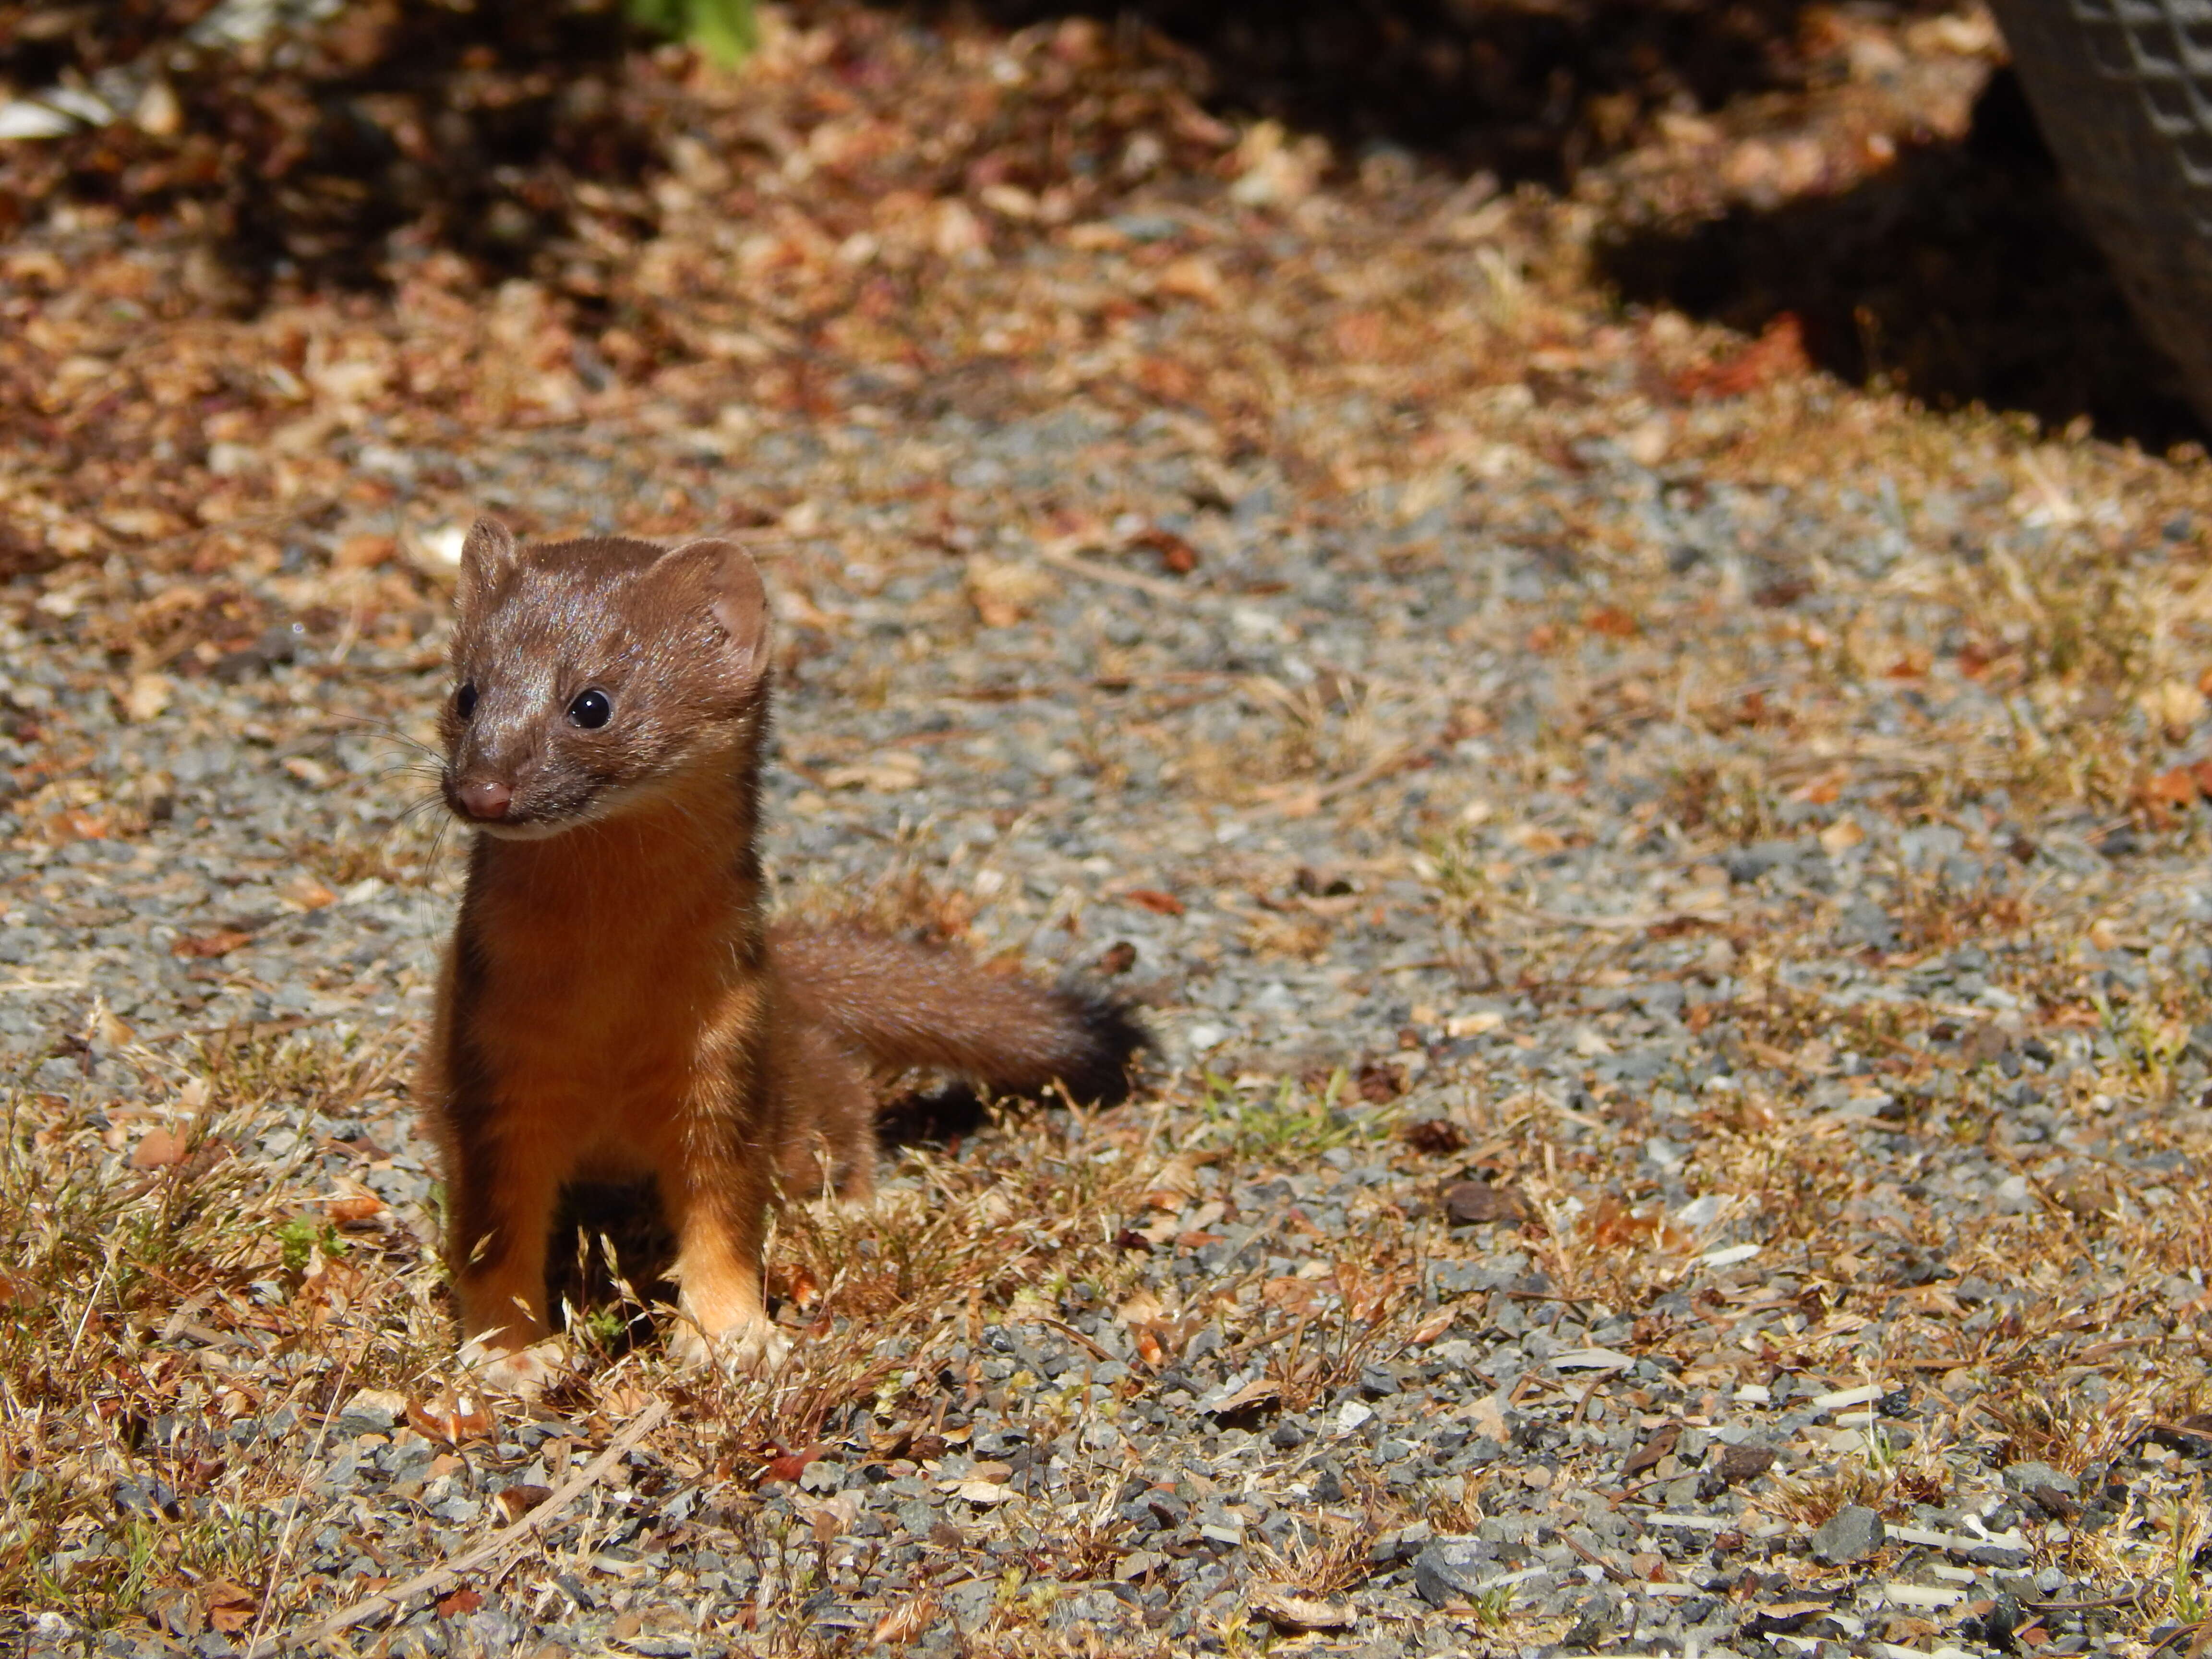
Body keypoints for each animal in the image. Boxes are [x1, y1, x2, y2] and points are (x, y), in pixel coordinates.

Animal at [418, 526, 1141, 1380]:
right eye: (466, 692)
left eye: (592, 702)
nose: (483, 789)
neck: (610, 1001)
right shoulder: (489, 1057)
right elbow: (495, 1232)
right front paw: (508, 1357)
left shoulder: (727, 1054)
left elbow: (725, 1212)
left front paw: (731, 1337)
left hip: (792, 1059)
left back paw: (856, 1208)